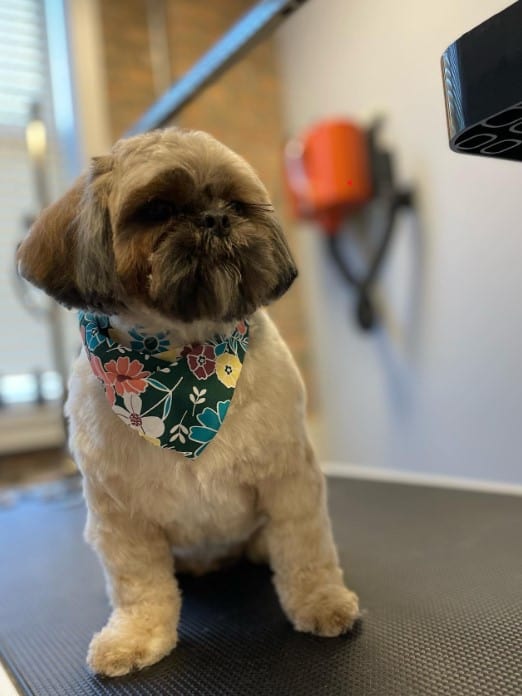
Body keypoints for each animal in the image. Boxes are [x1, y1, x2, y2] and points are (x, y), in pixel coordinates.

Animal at [16, 128, 358, 676]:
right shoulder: (120, 516)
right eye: (157, 208)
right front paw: (136, 636)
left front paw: (320, 601)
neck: (185, 371)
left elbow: (305, 548)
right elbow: (139, 585)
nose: (216, 219)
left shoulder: (289, 479)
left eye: (235, 203)